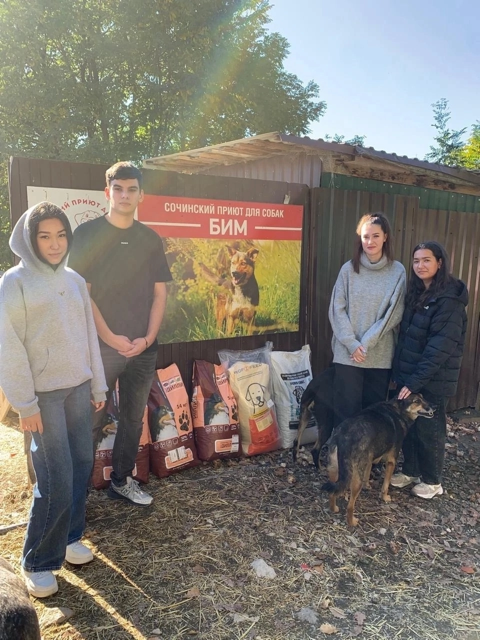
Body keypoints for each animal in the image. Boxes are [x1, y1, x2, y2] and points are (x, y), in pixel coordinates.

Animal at [321, 394, 434, 527]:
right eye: (416, 401)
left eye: (423, 397)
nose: (433, 406)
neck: (398, 410)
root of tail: (344, 437)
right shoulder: (391, 461)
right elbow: (385, 485)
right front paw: (385, 497)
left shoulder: (370, 457)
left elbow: (368, 472)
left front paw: (367, 485)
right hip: (356, 478)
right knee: (350, 506)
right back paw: (352, 522)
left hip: (334, 469)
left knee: (332, 492)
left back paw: (334, 508)